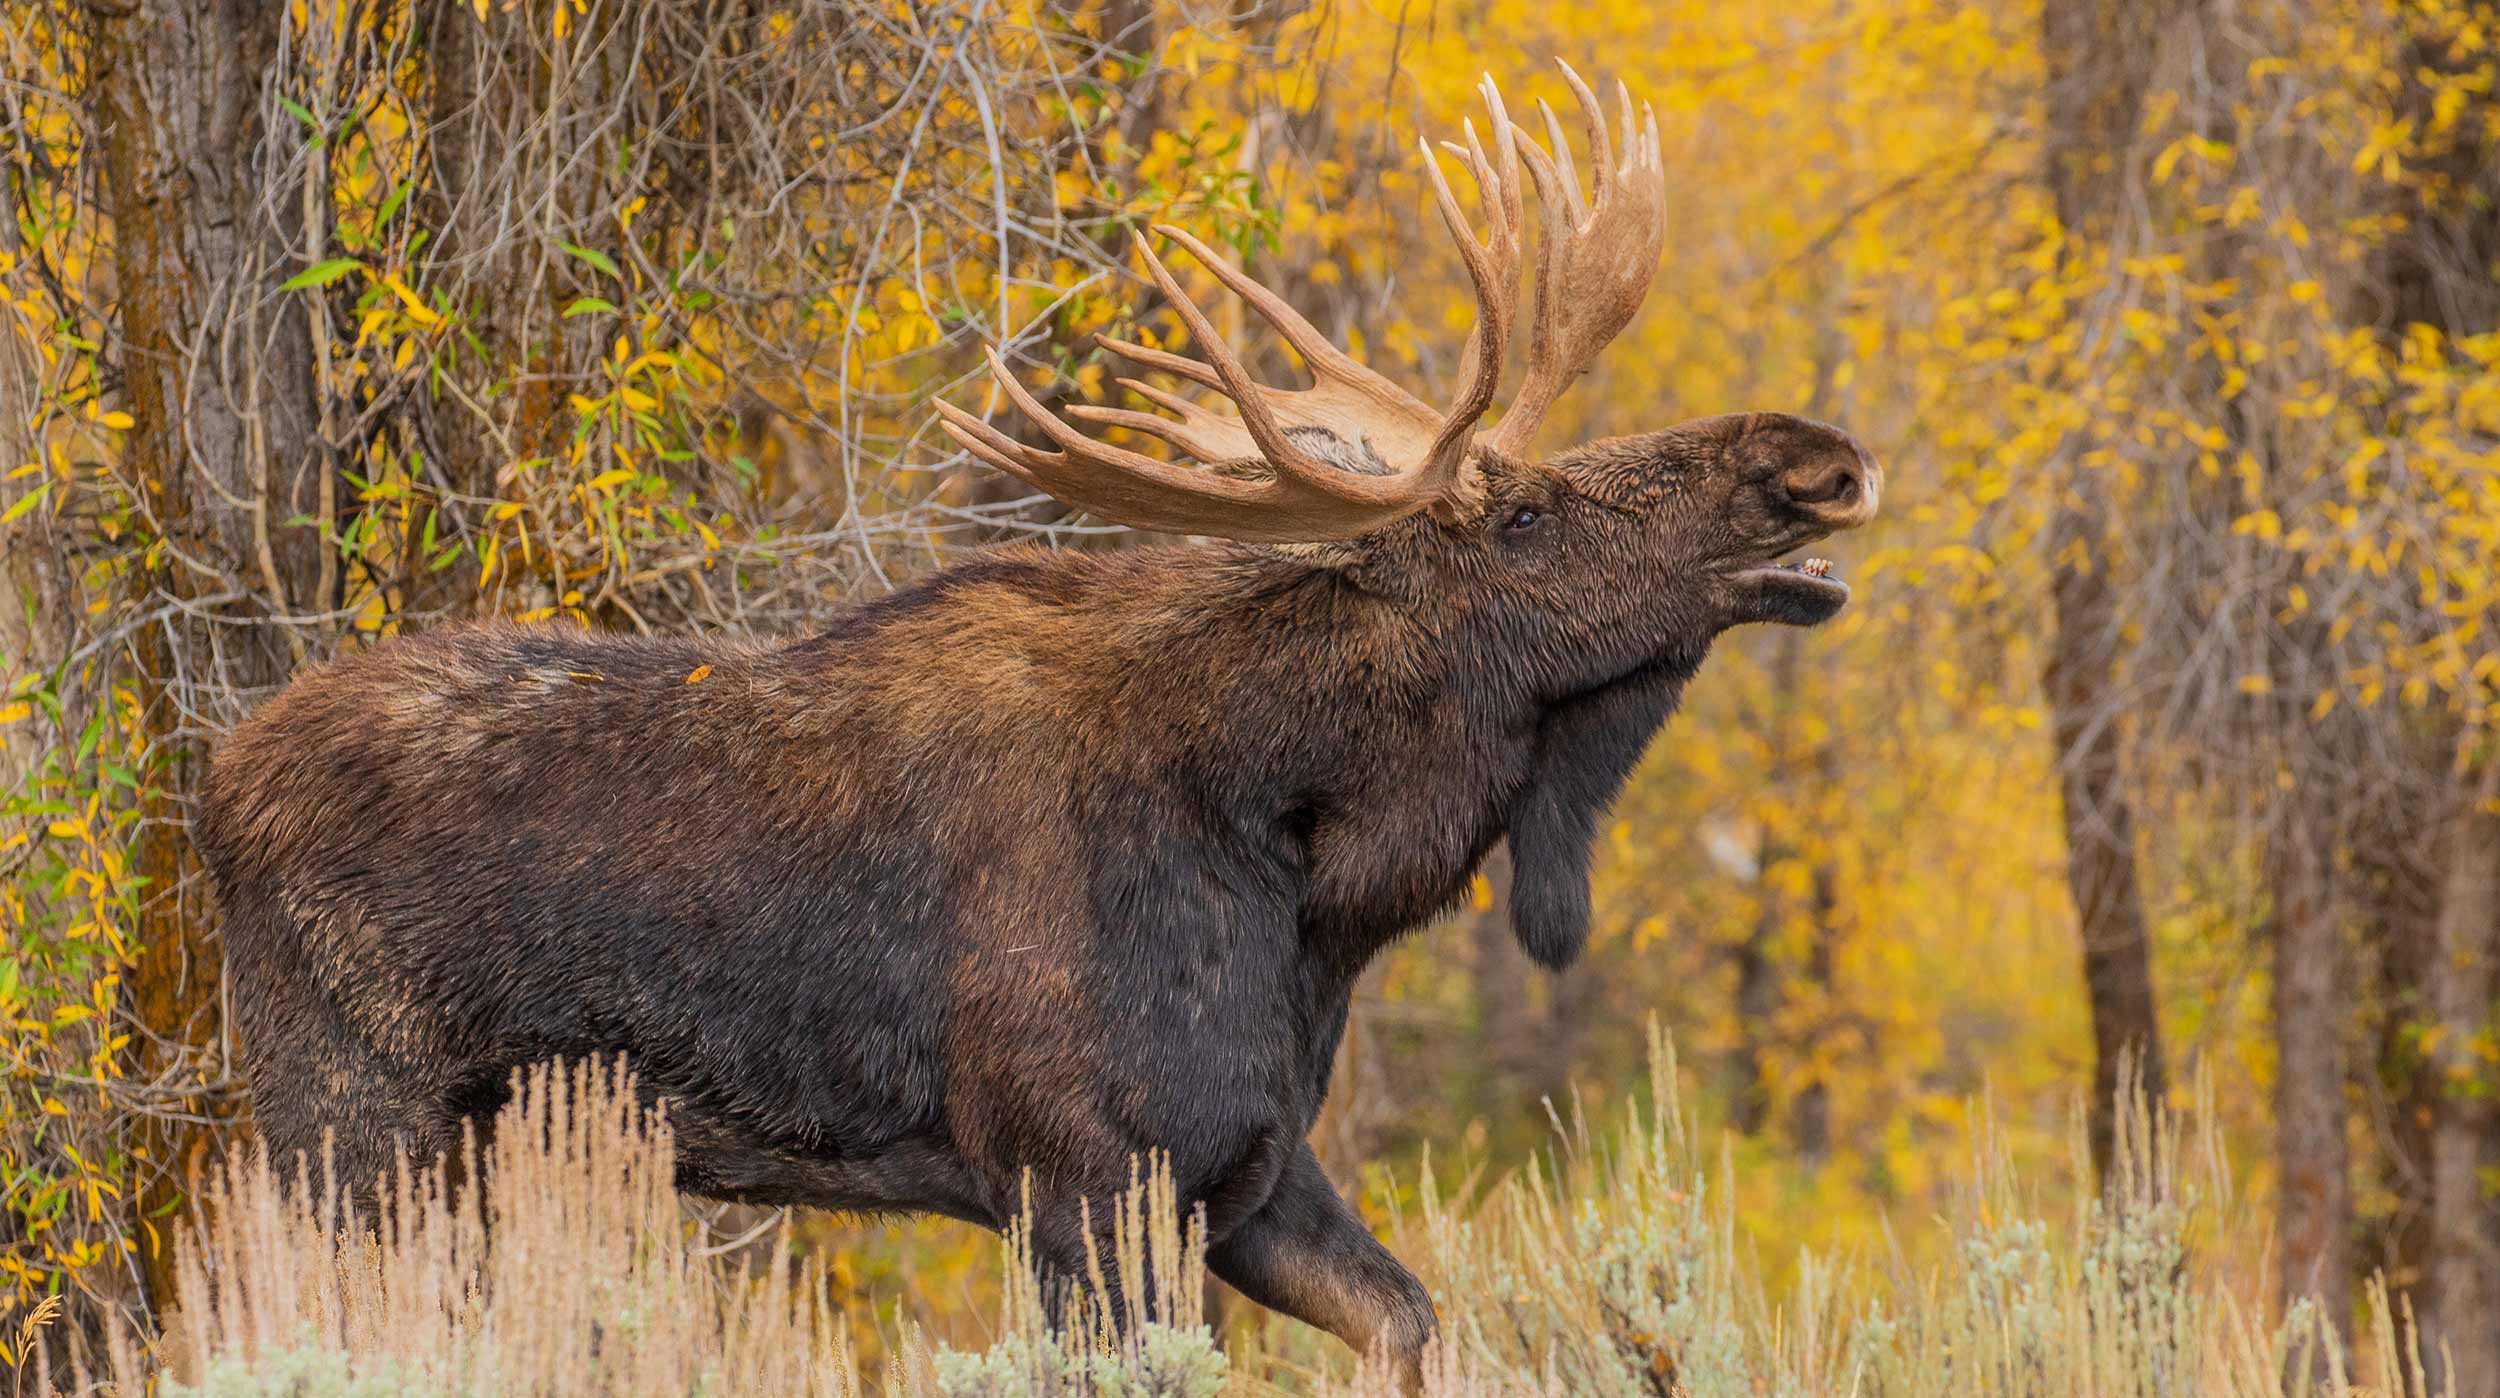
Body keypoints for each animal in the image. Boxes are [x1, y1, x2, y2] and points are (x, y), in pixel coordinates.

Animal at [195, 68, 1880, 1390]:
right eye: (1524, 516)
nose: (1815, 458)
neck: (1314, 881)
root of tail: (212, 781)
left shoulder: (1251, 1169)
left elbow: (1411, 1319)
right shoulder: (1077, 1178)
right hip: (350, 1107)